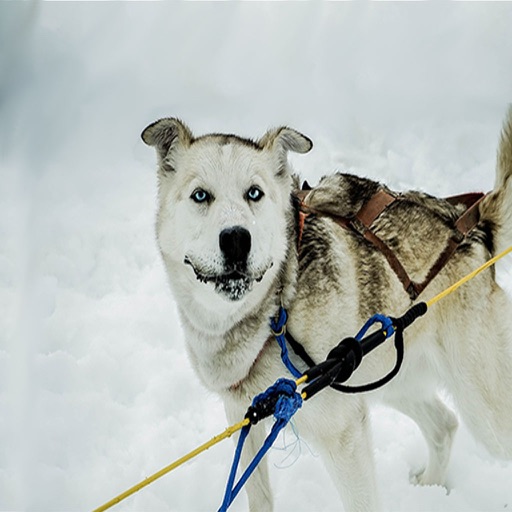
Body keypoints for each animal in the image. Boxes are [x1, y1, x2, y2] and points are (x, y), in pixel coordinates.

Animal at [142, 109, 512, 512]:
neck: (276, 313)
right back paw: (430, 486)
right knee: (444, 425)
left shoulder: (344, 434)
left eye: (254, 193)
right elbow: (259, 497)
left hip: (483, 408)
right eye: (200, 195)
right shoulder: (246, 421)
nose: (237, 238)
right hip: (388, 376)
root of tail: (471, 224)